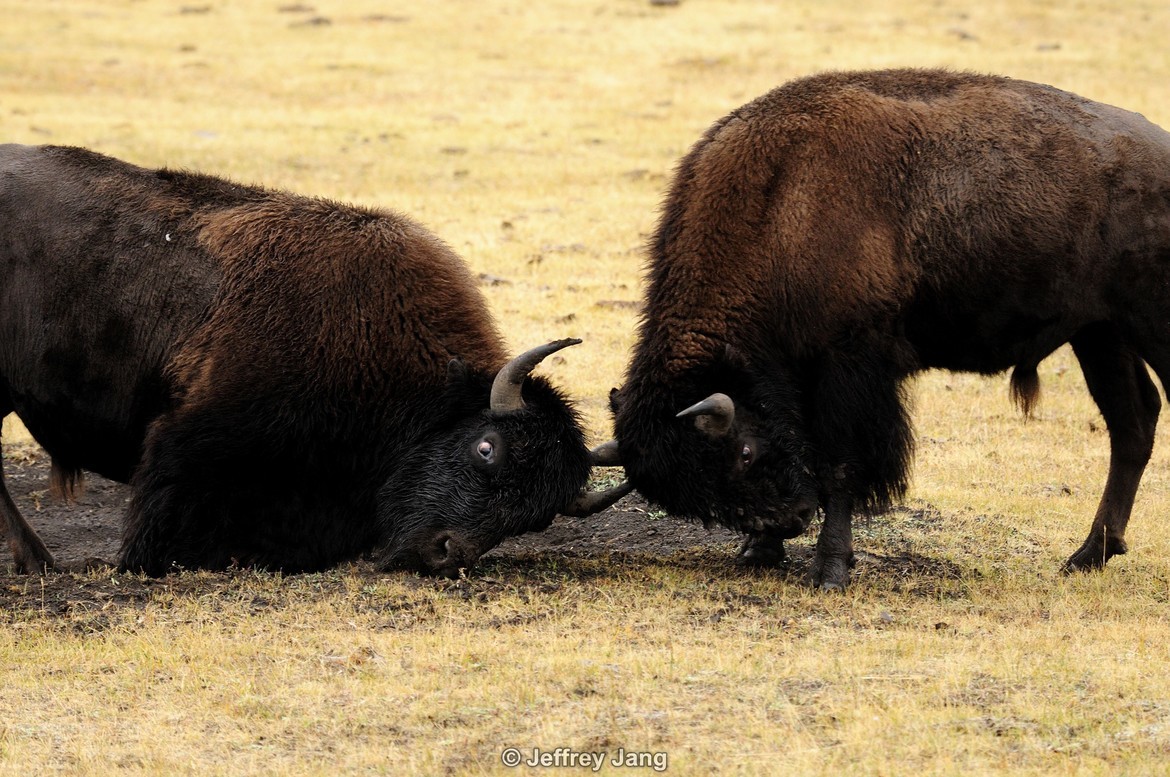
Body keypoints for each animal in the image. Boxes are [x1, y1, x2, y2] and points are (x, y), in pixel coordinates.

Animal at [607, 68, 1170, 589]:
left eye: (743, 452)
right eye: (698, 500)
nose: (790, 520)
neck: (777, 205)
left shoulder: (848, 369)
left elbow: (839, 467)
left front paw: (830, 570)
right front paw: (758, 551)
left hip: (1144, 325)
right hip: (1099, 334)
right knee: (1133, 423)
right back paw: (1086, 557)